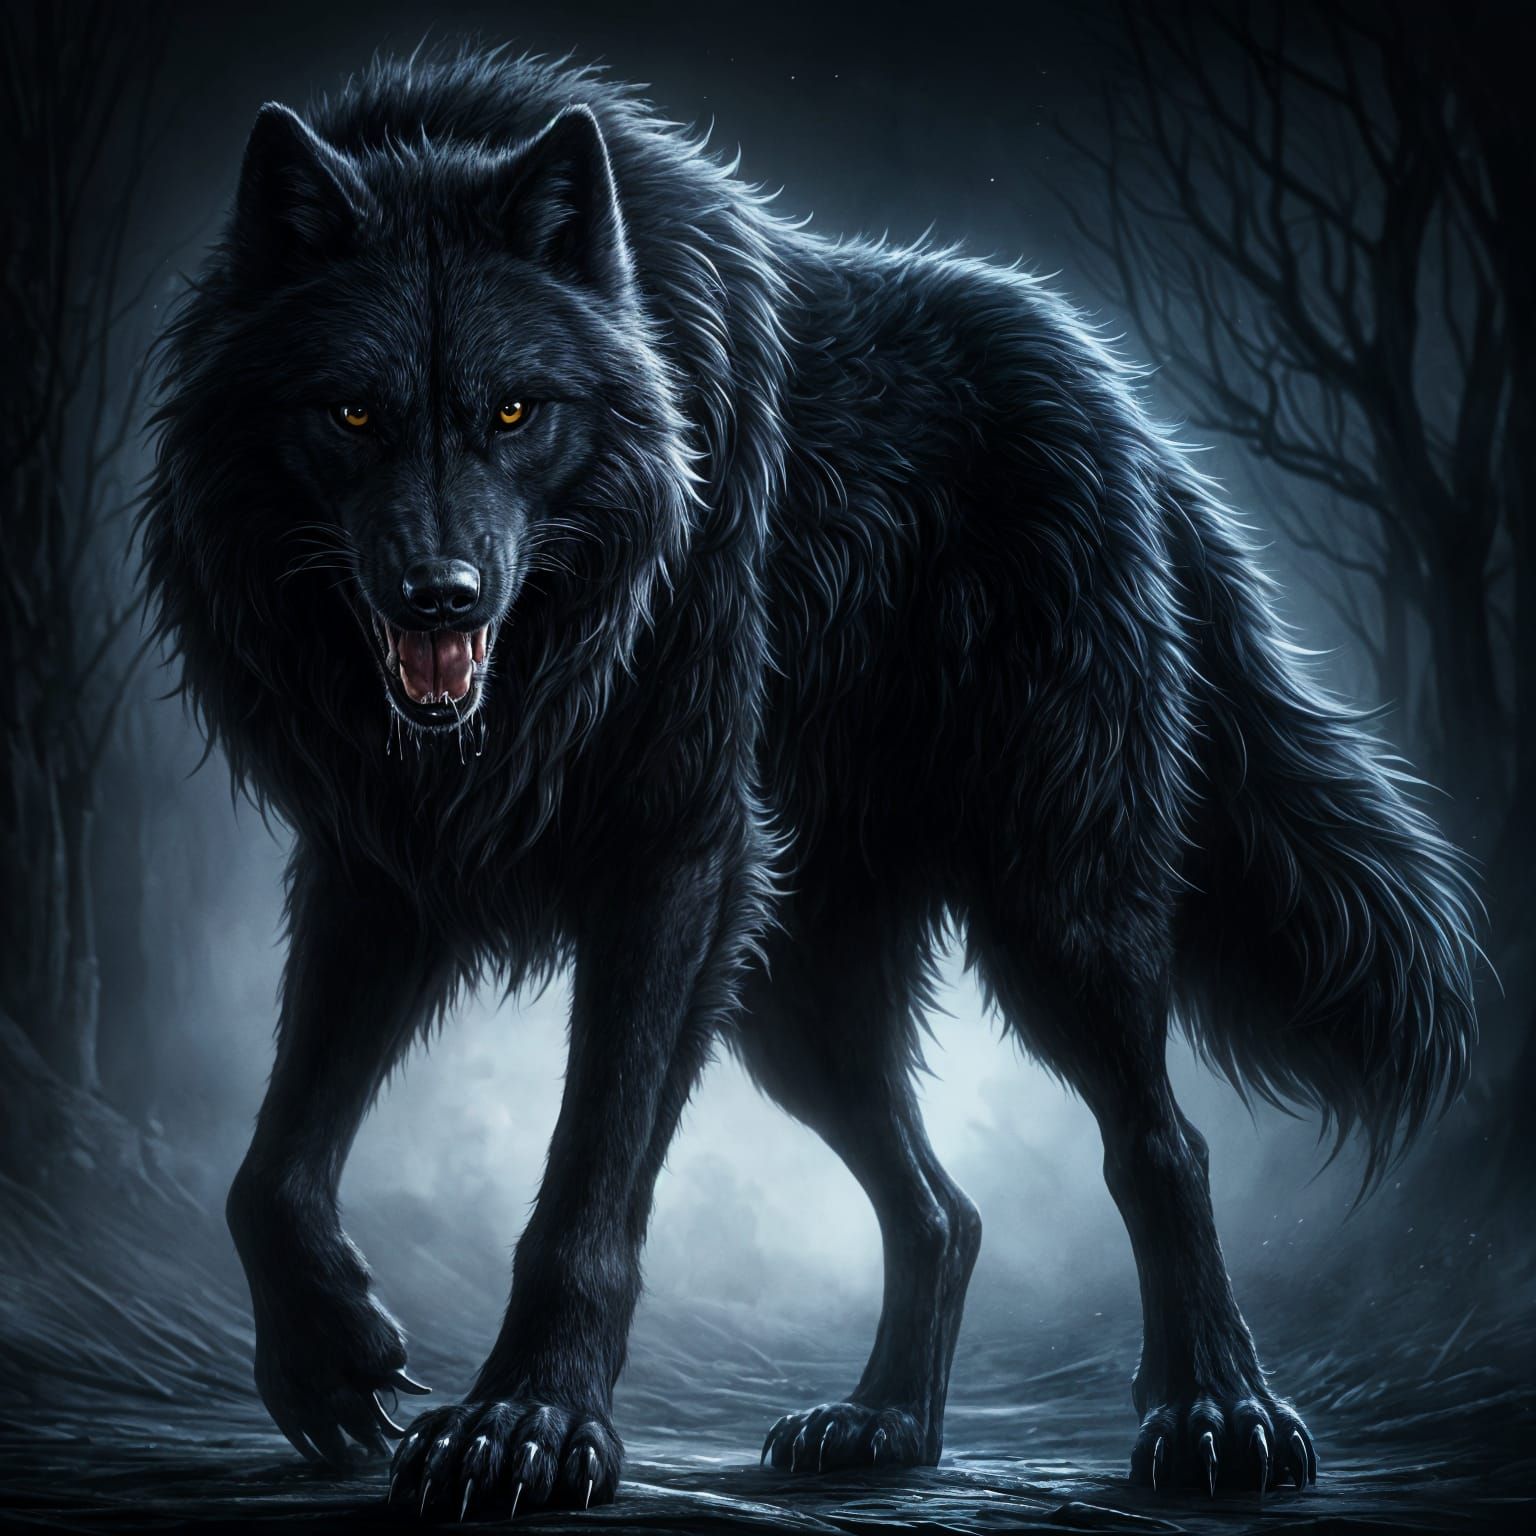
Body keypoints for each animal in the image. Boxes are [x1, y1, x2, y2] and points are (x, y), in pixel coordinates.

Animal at [142, 47, 1478, 1517]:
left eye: (514, 410)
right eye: (351, 412)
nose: (444, 594)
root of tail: (1129, 405)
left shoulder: (669, 856)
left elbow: (587, 1183)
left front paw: (527, 1426)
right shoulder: (376, 863)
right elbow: (272, 1164)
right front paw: (330, 1367)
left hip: (1051, 918)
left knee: (1160, 1143)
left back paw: (1218, 1417)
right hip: (793, 995)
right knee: (943, 1209)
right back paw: (882, 1424)